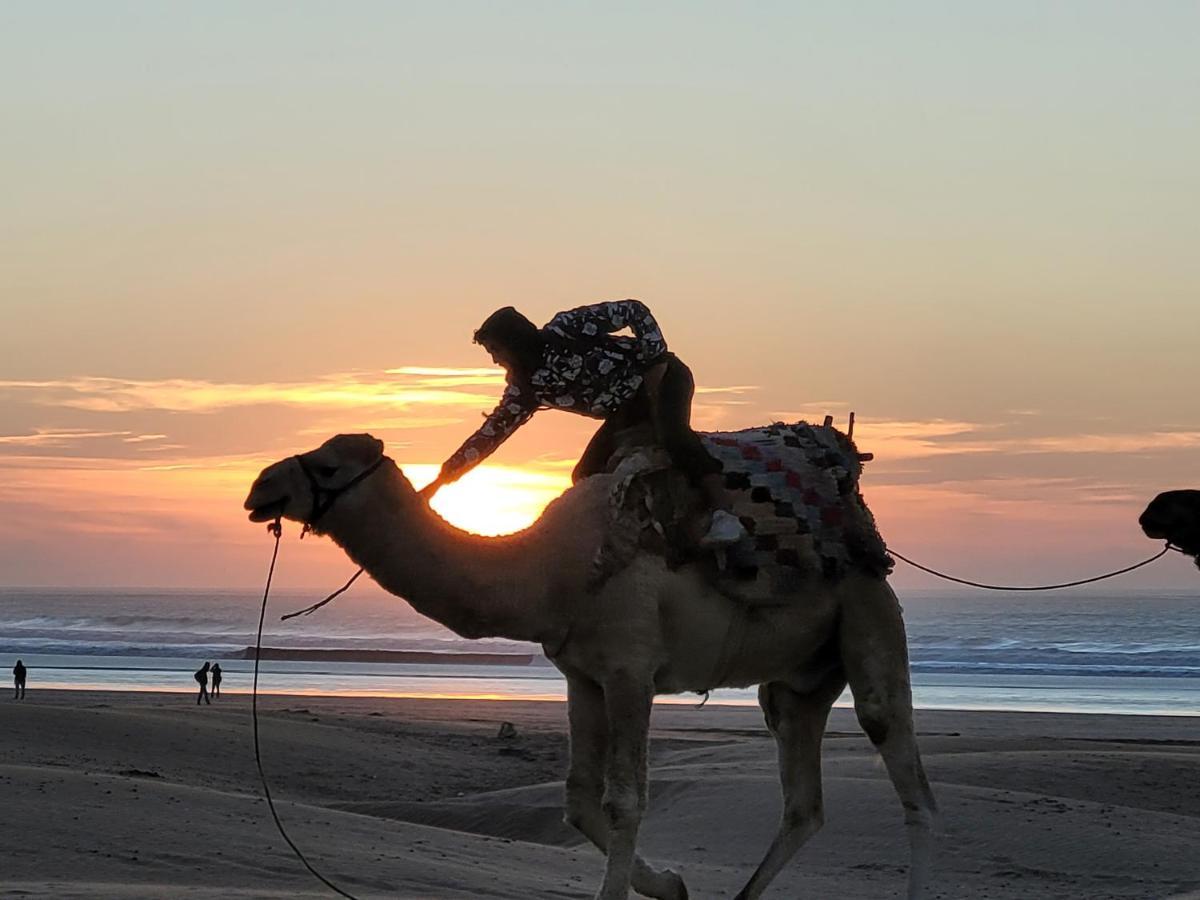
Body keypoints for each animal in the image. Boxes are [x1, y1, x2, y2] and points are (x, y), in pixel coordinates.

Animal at [243, 434, 936, 897]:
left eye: (327, 465)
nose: (259, 489)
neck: (549, 572)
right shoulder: (582, 675)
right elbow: (578, 800)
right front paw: (672, 883)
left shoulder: (631, 668)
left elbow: (625, 798)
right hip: (797, 681)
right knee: (802, 800)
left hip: (869, 610)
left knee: (907, 775)